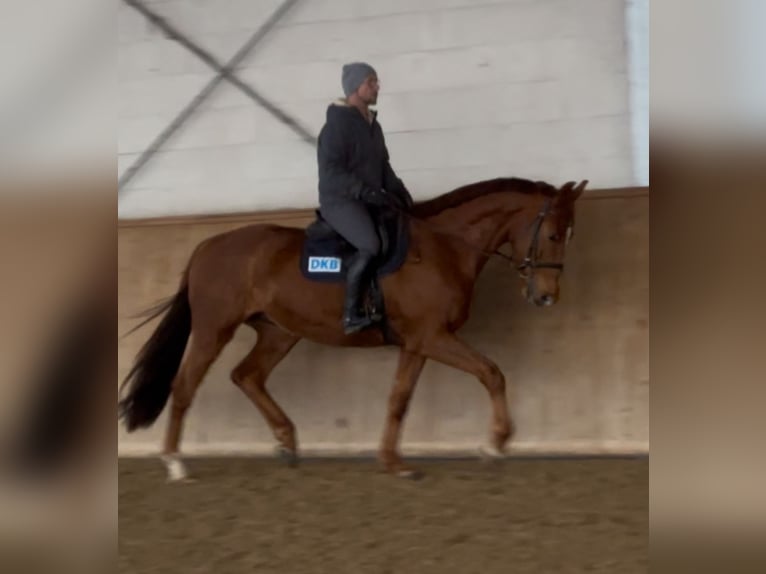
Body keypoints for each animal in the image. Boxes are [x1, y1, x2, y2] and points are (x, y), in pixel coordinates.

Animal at [118, 176, 587, 480]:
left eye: (569, 234)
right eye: (551, 233)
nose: (547, 296)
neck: (443, 250)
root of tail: (207, 246)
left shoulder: (418, 343)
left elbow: (399, 399)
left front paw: (392, 462)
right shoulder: (433, 337)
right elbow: (492, 373)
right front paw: (494, 445)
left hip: (279, 332)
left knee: (246, 375)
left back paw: (287, 443)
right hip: (215, 328)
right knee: (185, 386)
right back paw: (175, 462)